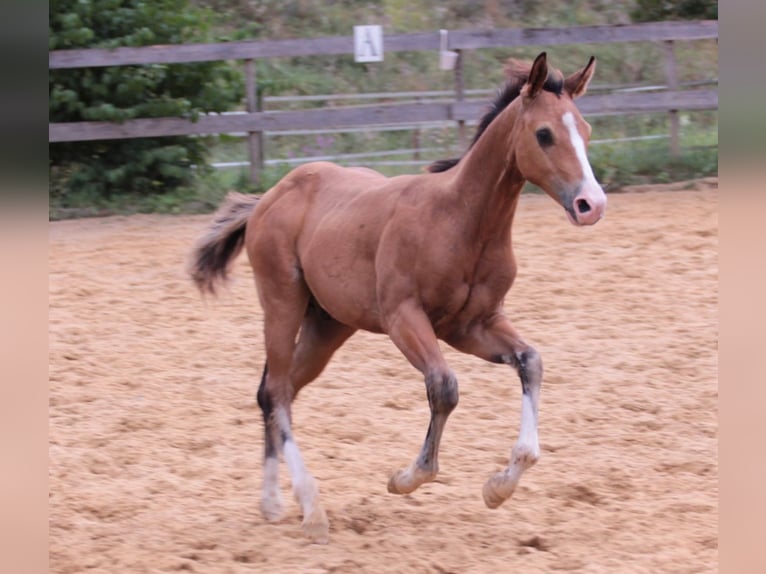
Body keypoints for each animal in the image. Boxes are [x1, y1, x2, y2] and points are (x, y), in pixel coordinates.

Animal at [189, 52, 606, 543]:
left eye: (586, 130)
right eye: (544, 133)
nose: (591, 204)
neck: (460, 220)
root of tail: (268, 198)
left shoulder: (473, 326)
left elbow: (531, 361)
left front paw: (499, 486)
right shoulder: (403, 319)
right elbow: (444, 386)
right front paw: (407, 478)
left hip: (328, 324)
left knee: (278, 390)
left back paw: (272, 502)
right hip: (281, 304)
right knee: (275, 392)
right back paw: (311, 509)